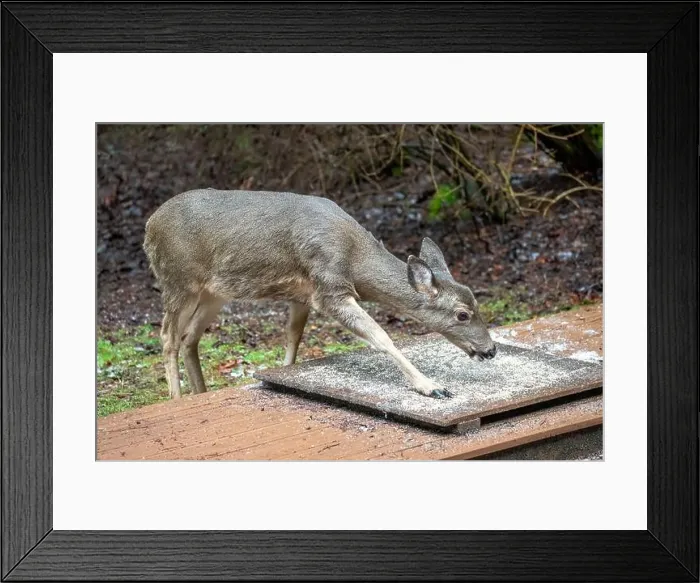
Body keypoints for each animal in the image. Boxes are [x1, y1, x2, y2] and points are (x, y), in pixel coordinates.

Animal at [143, 189, 497, 401]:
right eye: (462, 314)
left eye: (478, 305)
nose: (490, 350)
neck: (354, 259)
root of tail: (149, 226)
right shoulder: (329, 288)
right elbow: (381, 335)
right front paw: (430, 386)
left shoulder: (303, 294)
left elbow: (293, 338)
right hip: (178, 280)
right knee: (167, 337)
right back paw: (176, 399)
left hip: (215, 292)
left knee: (189, 337)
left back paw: (201, 393)